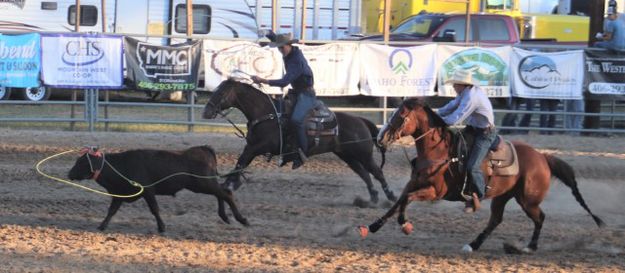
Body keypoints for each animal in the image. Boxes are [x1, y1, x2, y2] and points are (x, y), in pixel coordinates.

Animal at [66, 144, 246, 232]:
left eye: (81, 162)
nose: (69, 173)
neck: (120, 165)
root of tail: (203, 149)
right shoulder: (119, 194)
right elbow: (112, 211)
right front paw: (102, 226)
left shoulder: (147, 191)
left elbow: (155, 209)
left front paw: (162, 227)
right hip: (203, 184)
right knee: (221, 193)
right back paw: (225, 216)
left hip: (203, 183)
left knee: (226, 193)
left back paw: (241, 219)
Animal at [201, 78, 394, 202]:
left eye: (222, 92)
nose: (206, 112)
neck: (268, 114)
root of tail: (360, 120)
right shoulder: (251, 145)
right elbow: (241, 162)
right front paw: (230, 183)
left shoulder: (260, 146)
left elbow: (242, 160)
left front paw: (228, 184)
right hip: (348, 155)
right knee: (364, 174)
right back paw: (373, 197)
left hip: (363, 154)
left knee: (377, 172)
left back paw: (390, 196)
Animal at [358, 98, 604, 253]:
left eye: (401, 116)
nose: (380, 138)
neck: (437, 152)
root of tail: (542, 157)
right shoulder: (414, 183)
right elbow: (398, 201)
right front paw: (372, 226)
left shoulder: (435, 192)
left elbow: (406, 201)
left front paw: (405, 225)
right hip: (503, 196)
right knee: (496, 219)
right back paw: (473, 245)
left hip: (527, 200)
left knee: (539, 218)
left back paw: (528, 247)